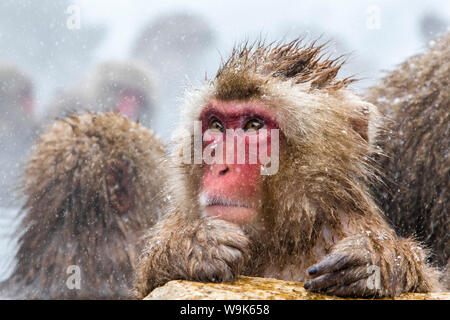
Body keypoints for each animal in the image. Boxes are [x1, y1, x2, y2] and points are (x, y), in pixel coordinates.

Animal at [135, 38, 442, 298]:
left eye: (254, 126)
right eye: (216, 125)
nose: (221, 166)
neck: (282, 238)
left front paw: (377, 259)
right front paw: (194, 248)